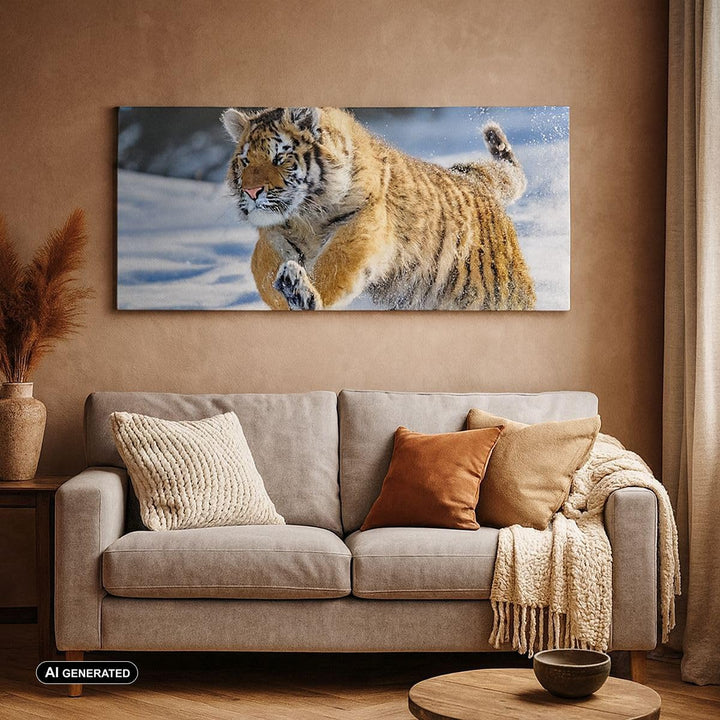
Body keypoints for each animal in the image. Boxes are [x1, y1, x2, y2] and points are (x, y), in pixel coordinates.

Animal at [221, 106, 535, 311]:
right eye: (245, 161)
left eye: (280, 158)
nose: (251, 192)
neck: (302, 218)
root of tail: (475, 179)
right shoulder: (272, 238)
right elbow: (264, 276)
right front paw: (287, 294)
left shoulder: (360, 227)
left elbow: (332, 266)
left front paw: (305, 296)